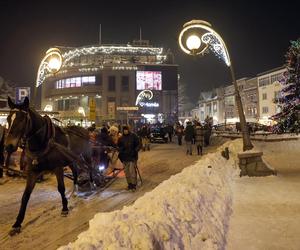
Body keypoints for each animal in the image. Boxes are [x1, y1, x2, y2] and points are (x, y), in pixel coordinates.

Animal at [4, 96, 91, 235]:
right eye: (8, 118)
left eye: (22, 119)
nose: (9, 146)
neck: (43, 141)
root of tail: (84, 130)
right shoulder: (32, 171)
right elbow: (25, 196)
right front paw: (17, 223)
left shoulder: (58, 167)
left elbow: (61, 188)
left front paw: (65, 208)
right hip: (71, 159)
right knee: (76, 171)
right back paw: (75, 190)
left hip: (86, 155)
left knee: (90, 167)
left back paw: (93, 184)